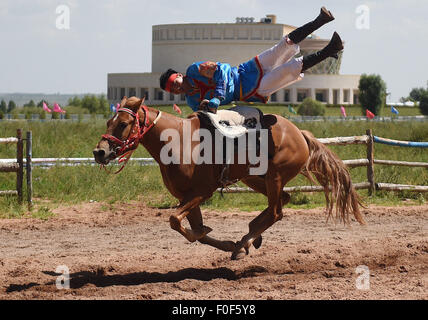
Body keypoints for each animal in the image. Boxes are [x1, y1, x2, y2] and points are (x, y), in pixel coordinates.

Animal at [93, 97, 364, 260]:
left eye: (123, 124)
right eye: (108, 121)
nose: (99, 152)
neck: (178, 140)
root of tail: (300, 133)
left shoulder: (202, 192)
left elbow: (179, 222)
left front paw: (225, 242)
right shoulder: (187, 197)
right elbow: (192, 228)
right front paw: (225, 243)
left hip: (274, 177)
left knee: (276, 212)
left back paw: (247, 240)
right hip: (256, 178)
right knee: (281, 202)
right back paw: (250, 237)